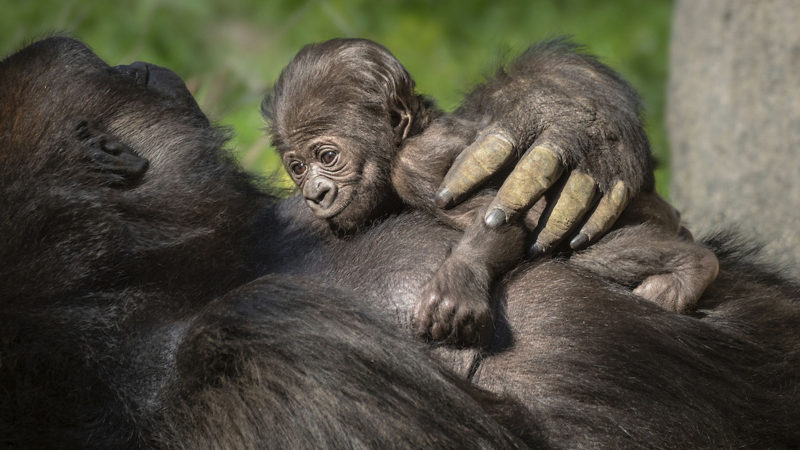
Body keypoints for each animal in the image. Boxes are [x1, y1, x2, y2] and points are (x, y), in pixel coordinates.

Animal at [266, 39, 720, 348]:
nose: (315, 193)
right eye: (297, 167)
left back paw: (692, 265)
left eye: (328, 156)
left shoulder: (417, 167)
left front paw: (459, 281)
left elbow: (503, 218)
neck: (401, 143)